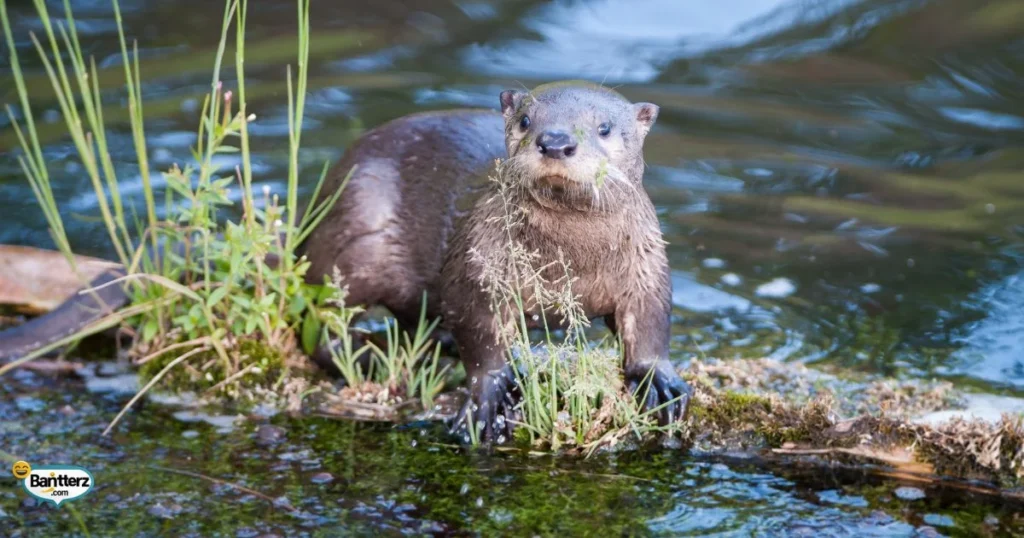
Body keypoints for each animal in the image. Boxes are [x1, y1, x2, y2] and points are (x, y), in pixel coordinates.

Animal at [0, 81, 691, 442]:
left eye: (605, 127)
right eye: (525, 119)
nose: (556, 140)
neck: (568, 264)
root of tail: (317, 208)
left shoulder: (647, 267)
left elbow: (648, 328)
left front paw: (659, 383)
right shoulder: (477, 265)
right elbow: (482, 333)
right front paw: (488, 400)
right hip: (355, 239)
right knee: (321, 327)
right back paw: (373, 357)